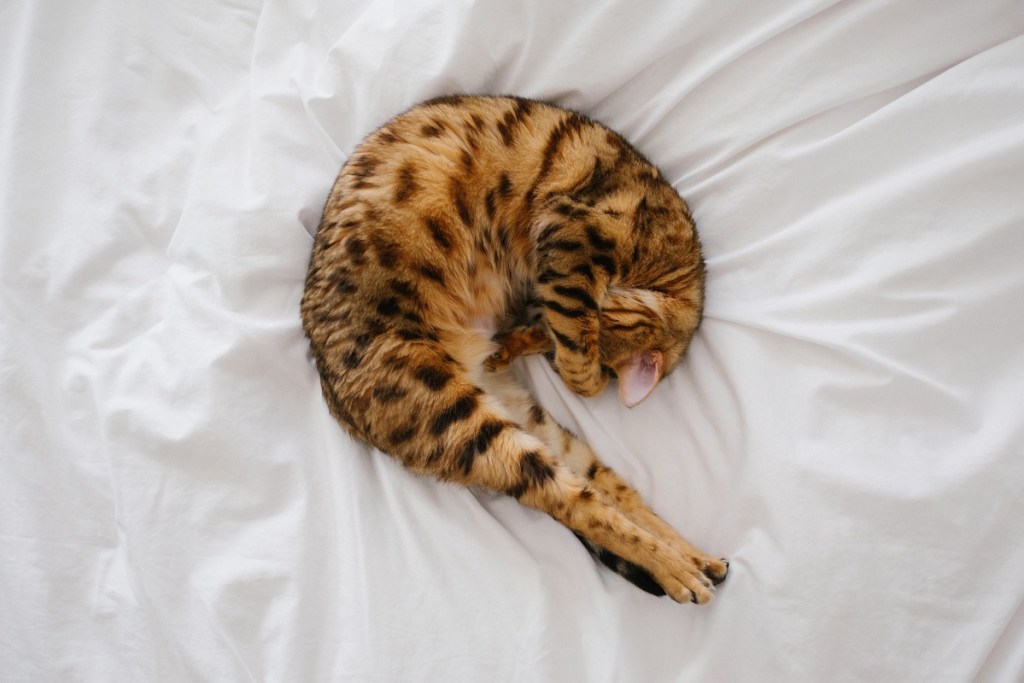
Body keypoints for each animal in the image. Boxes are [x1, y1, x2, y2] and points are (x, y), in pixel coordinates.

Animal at [299, 92, 729, 602]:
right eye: (548, 345)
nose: (527, 338)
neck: (675, 261)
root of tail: (331, 393)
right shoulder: (570, 240)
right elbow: (579, 341)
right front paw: (576, 372)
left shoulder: (566, 265)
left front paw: (535, 353)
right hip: (460, 420)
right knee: (579, 506)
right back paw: (679, 570)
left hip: (525, 424)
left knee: (604, 494)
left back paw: (695, 558)